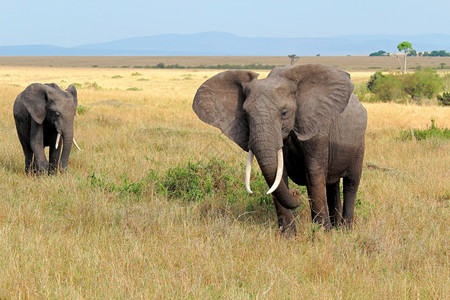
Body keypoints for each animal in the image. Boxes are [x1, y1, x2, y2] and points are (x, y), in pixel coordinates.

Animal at [192, 65, 366, 234]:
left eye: (284, 113)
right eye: (246, 115)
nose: (296, 193)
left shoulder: (317, 130)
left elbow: (313, 174)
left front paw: (323, 233)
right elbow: (278, 176)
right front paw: (288, 235)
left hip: (359, 142)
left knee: (351, 183)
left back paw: (345, 230)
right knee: (332, 185)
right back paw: (337, 228)